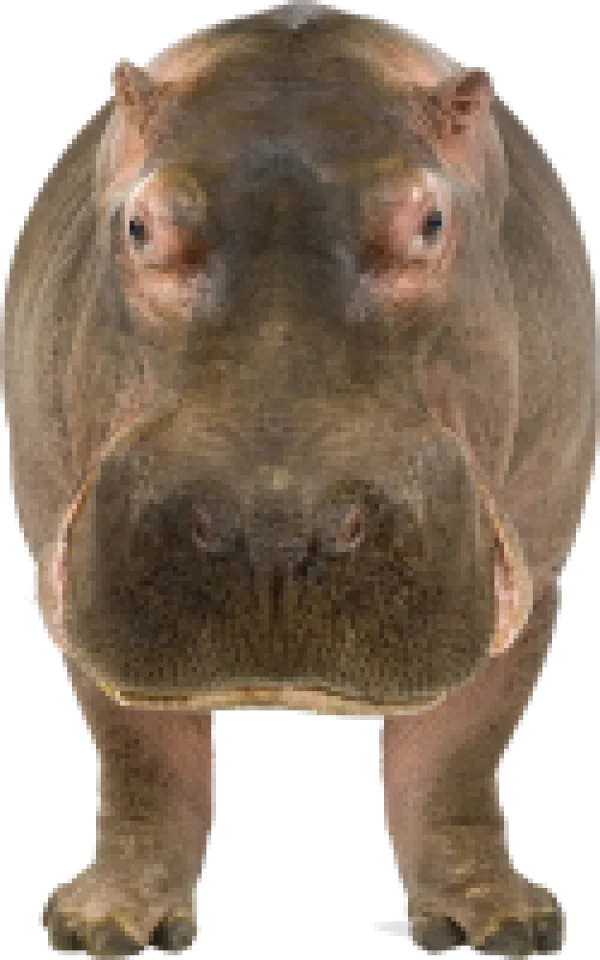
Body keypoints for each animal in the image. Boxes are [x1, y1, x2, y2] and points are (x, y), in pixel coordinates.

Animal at [1, 3, 597, 956]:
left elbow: (464, 747)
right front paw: (105, 927)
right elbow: (137, 753)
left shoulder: (539, 554)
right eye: (141, 226)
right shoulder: (57, 542)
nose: (272, 532)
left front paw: (502, 924)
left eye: (430, 223)